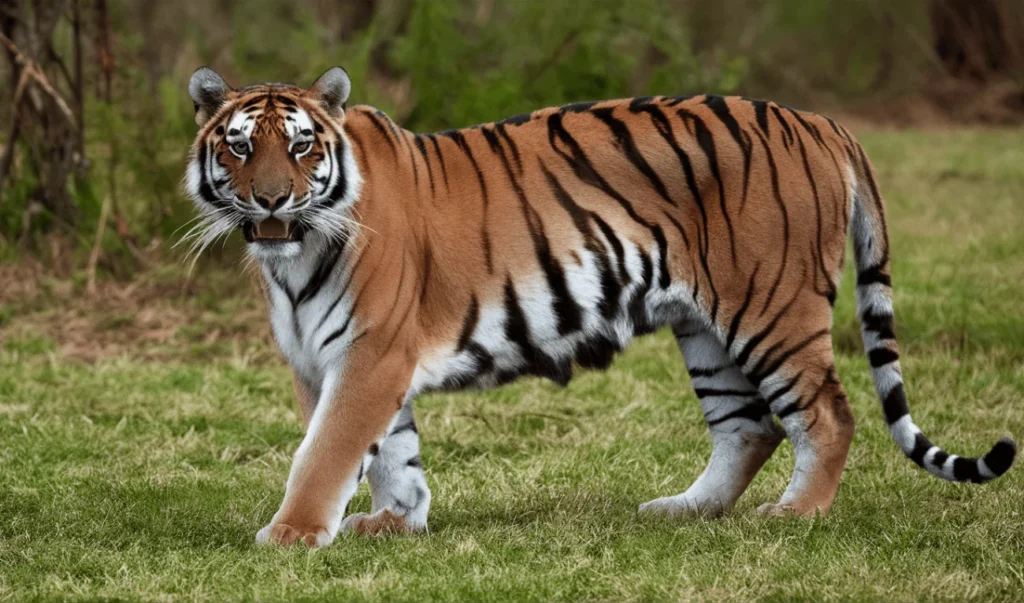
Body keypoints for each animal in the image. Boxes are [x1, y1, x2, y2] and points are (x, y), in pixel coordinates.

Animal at [184, 64, 1015, 544]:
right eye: (238, 146)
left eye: (300, 146)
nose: (271, 200)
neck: (292, 257)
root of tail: (817, 120)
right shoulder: (331, 357)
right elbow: (390, 449)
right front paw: (396, 519)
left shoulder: (370, 351)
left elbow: (327, 450)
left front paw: (293, 532)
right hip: (704, 328)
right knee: (749, 427)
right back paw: (685, 509)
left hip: (771, 308)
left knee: (826, 413)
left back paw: (796, 513)